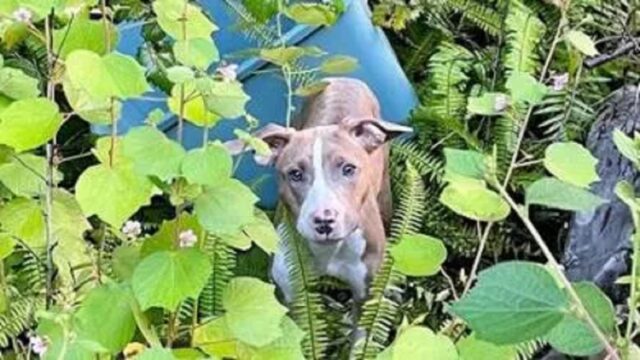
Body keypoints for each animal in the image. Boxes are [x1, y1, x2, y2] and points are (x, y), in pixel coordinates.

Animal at [230, 77, 410, 302]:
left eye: (348, 168)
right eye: (295, 174)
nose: (324, 220)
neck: (329, 252)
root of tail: (344, 79)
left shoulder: (364, 292)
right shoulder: (289, 292)